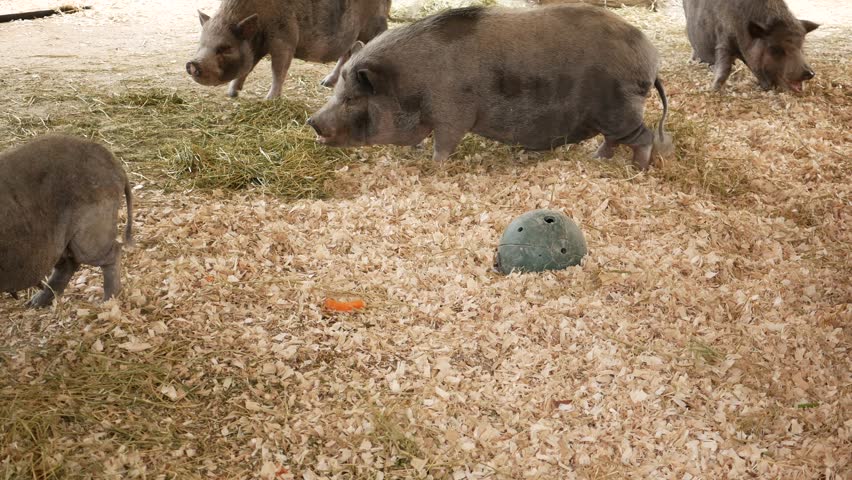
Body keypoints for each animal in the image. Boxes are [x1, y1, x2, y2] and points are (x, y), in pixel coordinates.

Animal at [0, 135, 133, 308]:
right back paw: (34, 304)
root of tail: (116, 165)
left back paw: (107, 301)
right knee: (67, 264)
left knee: (111, 252)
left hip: (92, 228)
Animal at [188, 0, 392, 99]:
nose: (192, 64)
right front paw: (231, 94)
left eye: (225, 48)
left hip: (374, 24)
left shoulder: (284, 39)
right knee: (348, 52)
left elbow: (278, 70)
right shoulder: (258, 47)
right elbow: (248, 68)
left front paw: (269, 100)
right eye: (201, 43)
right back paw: (326, 83)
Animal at [306, 4, 672, 170]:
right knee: (613, 140)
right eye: (336, 93)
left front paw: (435, 167)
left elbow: (444, 144)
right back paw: (597, 159)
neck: (411, 81)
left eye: (351, 98)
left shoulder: (453, 114)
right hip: (612, 116)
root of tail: (651, 57)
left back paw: (637, 169)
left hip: (620, 110)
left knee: (643, 137)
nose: (312, 120)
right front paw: (416, 153)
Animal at [684, 0, 816, 92]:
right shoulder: (723, 40)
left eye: (800, 46)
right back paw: (693, 62)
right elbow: (725, 68)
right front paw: (713, 89)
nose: (810, 73)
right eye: (775, 49)